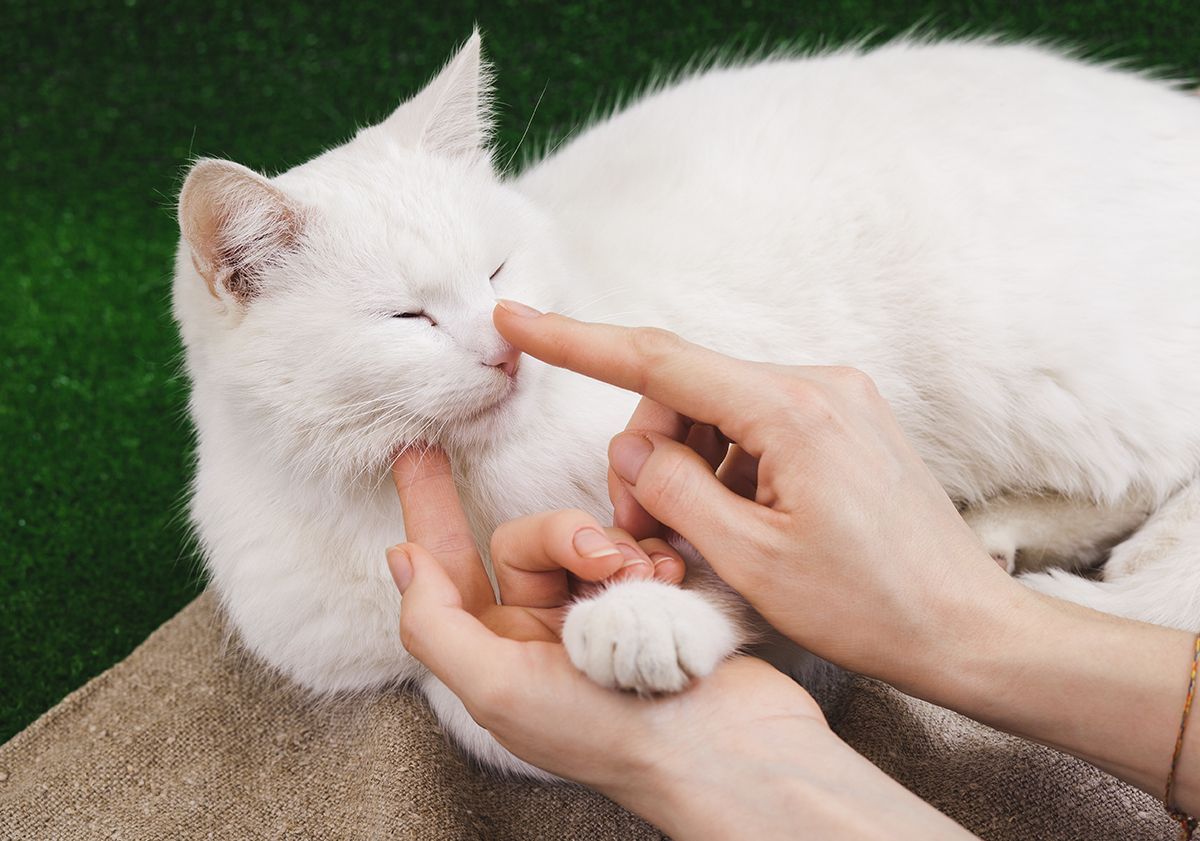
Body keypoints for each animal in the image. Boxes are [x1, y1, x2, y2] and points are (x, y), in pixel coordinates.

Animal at [174, 34, 1200, 782]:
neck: (478, 476)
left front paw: (642, 622)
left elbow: (739, 584)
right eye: (407, 317)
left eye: (498, 272)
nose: (508, 346)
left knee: (1152, 478)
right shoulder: (366, 641)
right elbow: (459, 700)